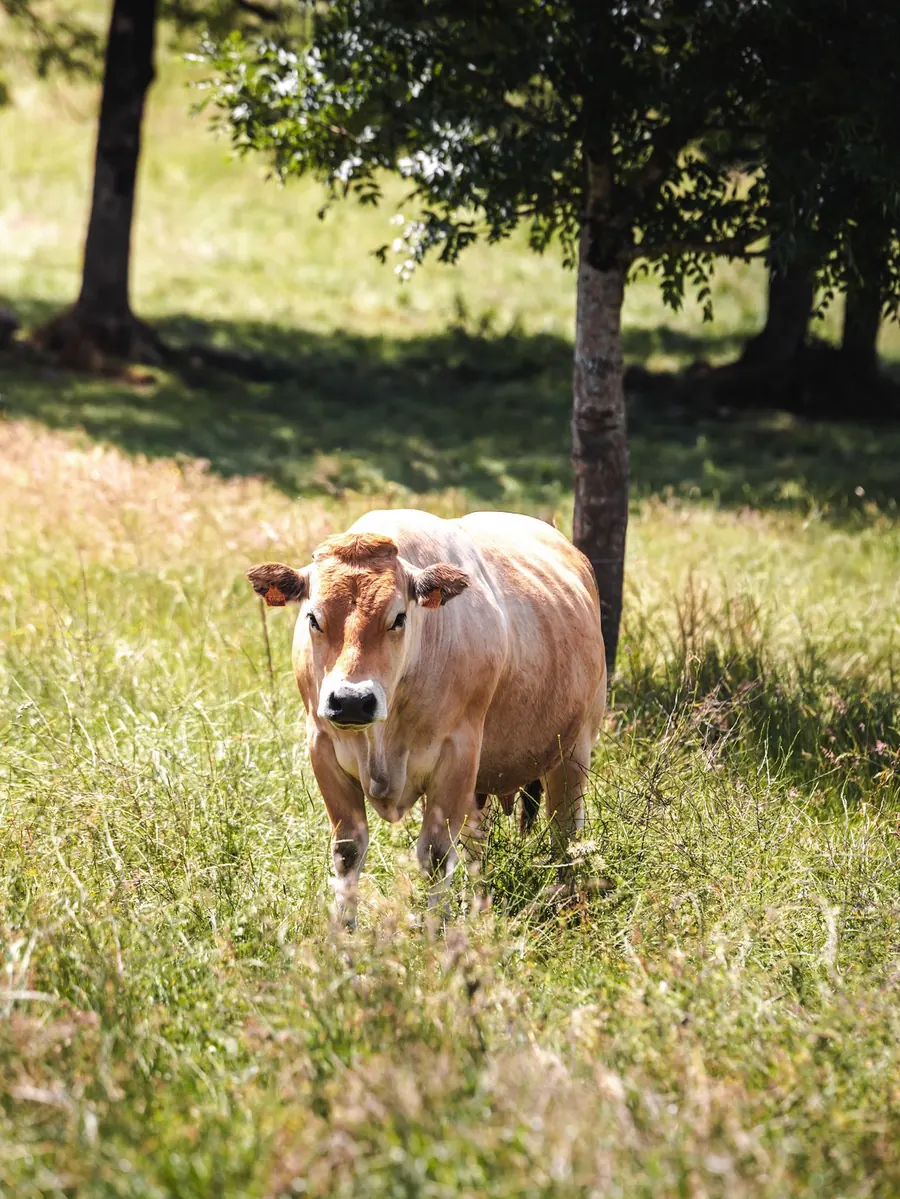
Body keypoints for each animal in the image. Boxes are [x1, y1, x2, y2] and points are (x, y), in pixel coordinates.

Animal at [246, 509, 606, 924]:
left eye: (398, 618)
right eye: (313, 618)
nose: (351, 701)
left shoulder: (457, 754)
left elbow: (435, 855)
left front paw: (436, 931)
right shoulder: (322, 748)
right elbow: (348, 850)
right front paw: (344, 929)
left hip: (574, 751)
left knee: (566, 833)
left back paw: (565, 898)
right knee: (477, 843)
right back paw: (476, 901)